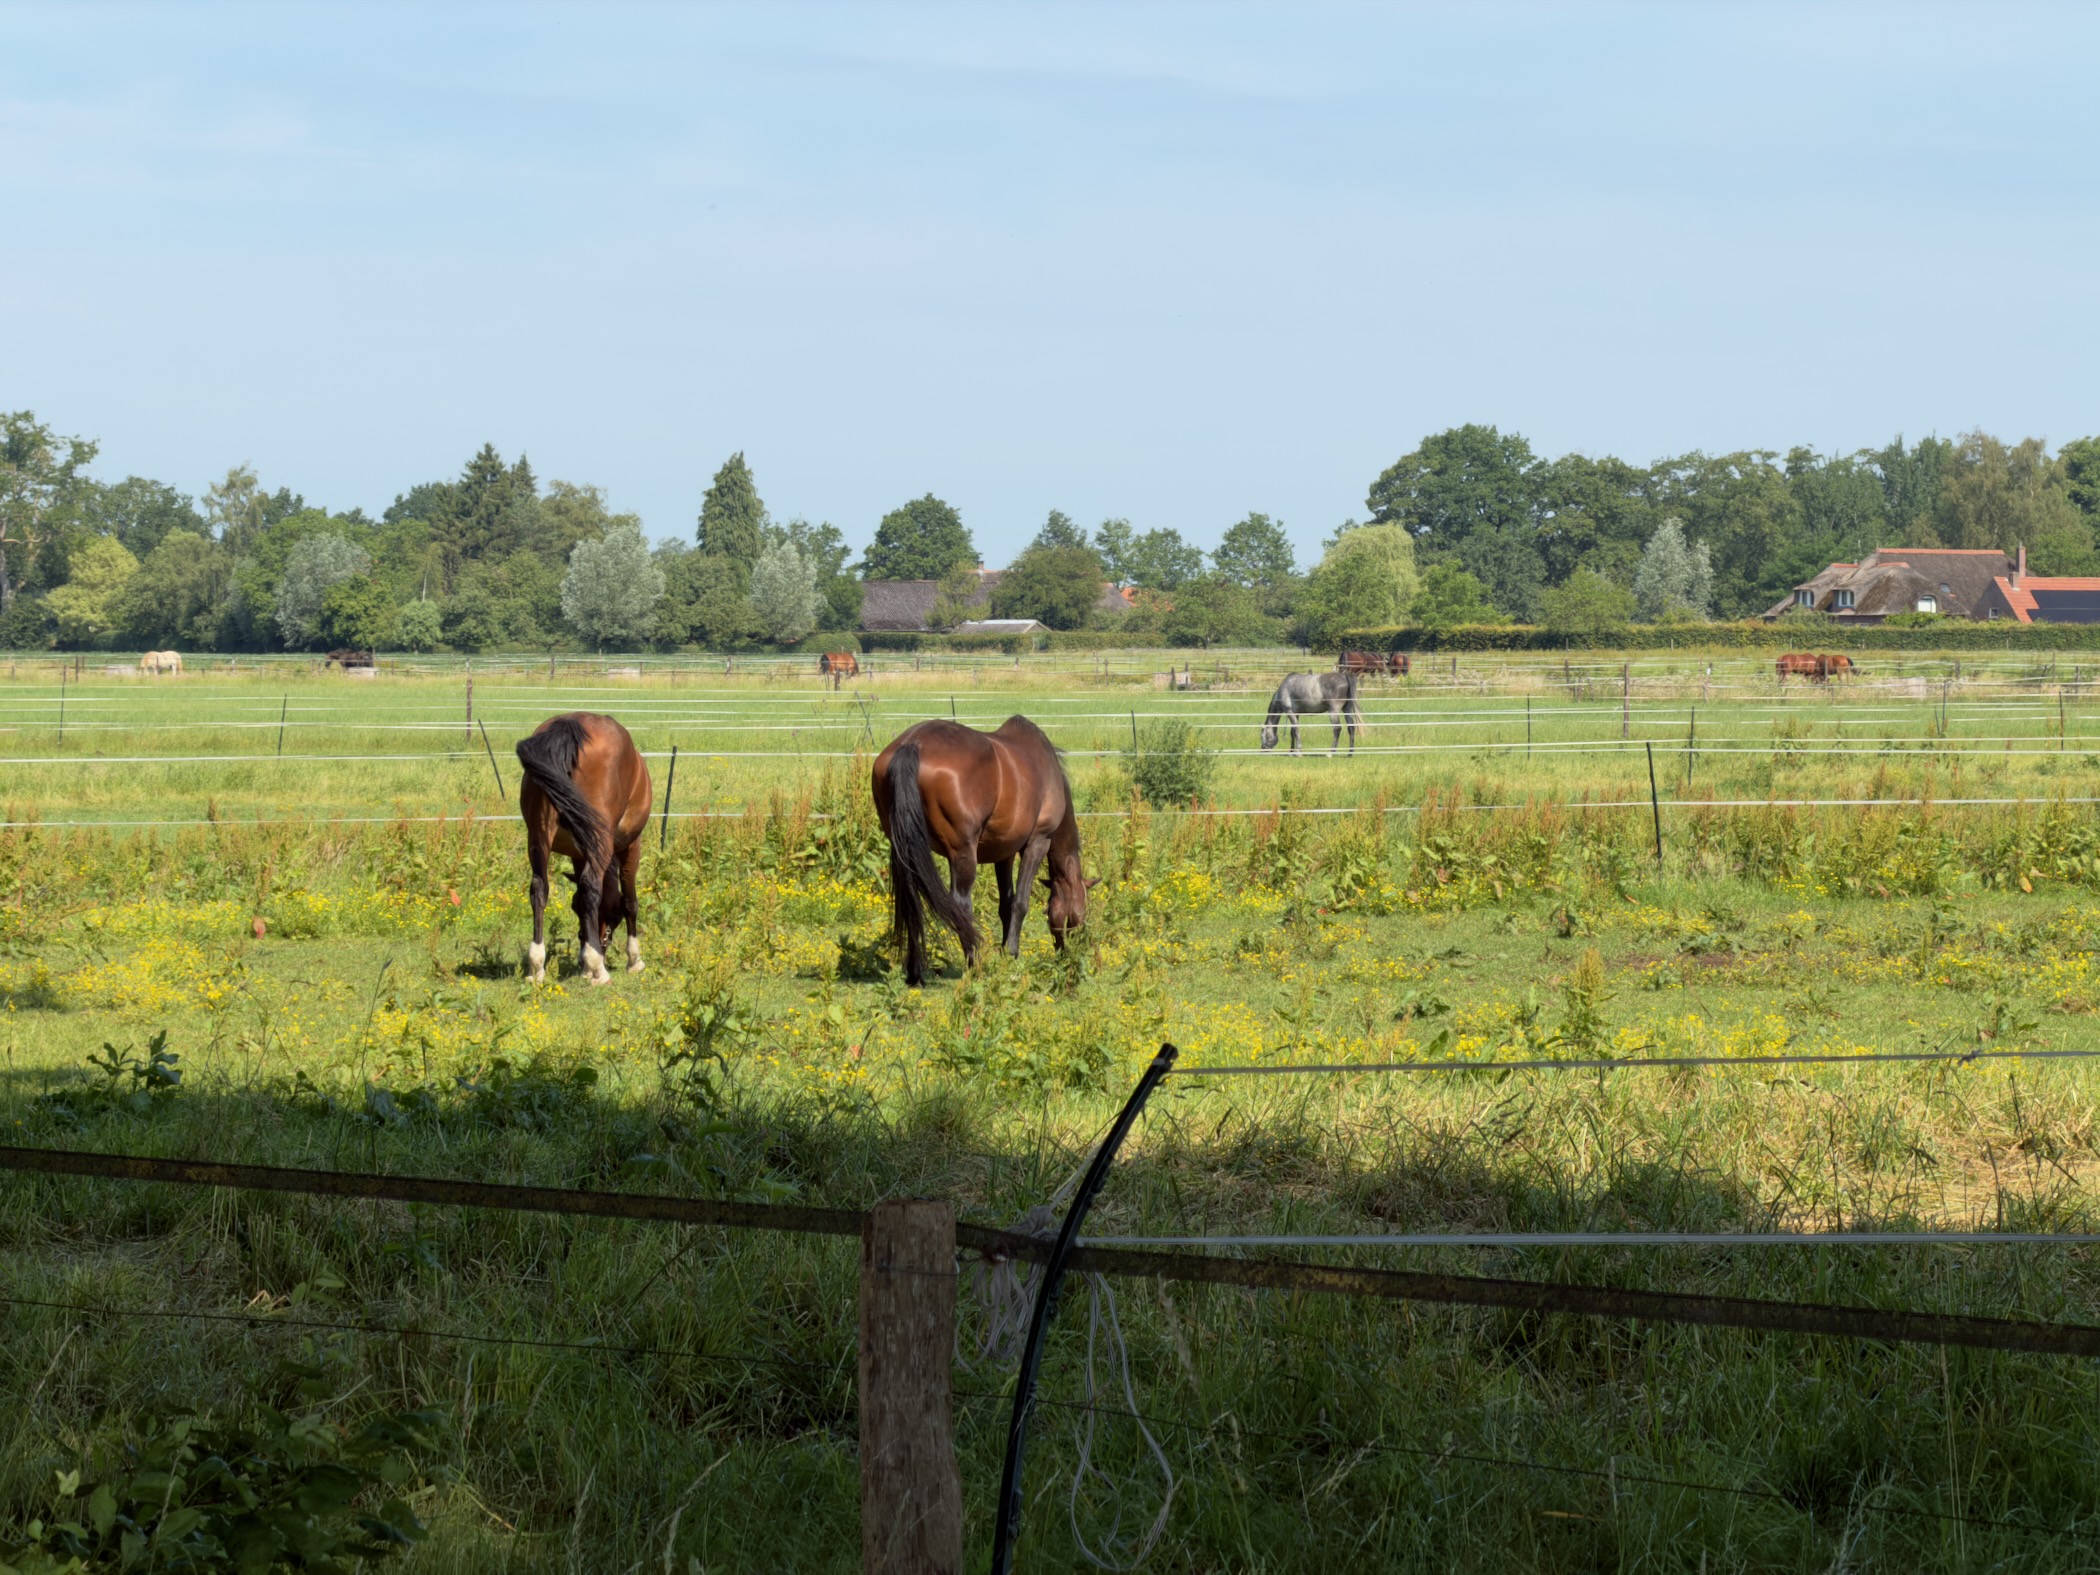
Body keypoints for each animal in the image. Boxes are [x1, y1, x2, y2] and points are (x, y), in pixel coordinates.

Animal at [514, 713, 653, 985]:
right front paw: (633, 959)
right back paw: (598, 968)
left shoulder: (578, 854)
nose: (581, 961)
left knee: (538, 888)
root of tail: (568, 727)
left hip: (538, 837)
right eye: (614, 915)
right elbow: (630, 901)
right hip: (601, 841)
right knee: (591, 887)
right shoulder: (631, 846)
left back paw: (537, 966)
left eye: (573, 908)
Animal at [871, 716, 1093, 987]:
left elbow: (1006, 903)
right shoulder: (1038, 842)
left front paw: (1004, 950)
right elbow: (1020, 902)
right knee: (961, 904)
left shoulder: (1004, 853)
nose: (1066, 954)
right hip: (962, 853)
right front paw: (1011, 953)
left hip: (903, 848)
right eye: (1078, 918)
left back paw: (915, 973)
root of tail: (912, 744)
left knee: (910, 901)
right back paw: (974, 965)